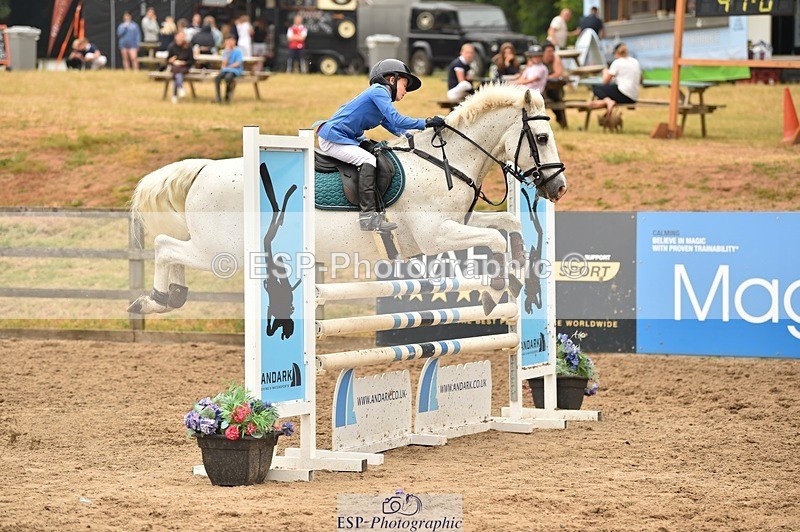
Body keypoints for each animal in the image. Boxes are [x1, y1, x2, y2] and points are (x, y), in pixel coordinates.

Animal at [127, 84, 567, 317]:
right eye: (542, 137)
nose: (558, 188)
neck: (447, 162)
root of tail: (204, 170)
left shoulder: (454, 226)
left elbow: (507, 227)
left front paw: (518, 273)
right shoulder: (435, 237)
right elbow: (493, 240)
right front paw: (495, 290)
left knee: (171, 250)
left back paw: (164, 298)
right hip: (223, 251)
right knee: (166, 246)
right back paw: (156, 300)